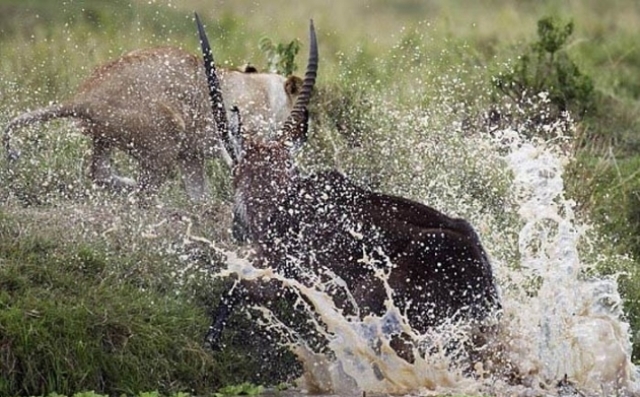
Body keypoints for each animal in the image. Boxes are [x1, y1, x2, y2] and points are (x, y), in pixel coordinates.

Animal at [195, 13, 500, 360]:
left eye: (234, 174)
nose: (236, 227)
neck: (283, 200)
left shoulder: (282, 274)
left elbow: (232, 292)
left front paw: (211, 341)